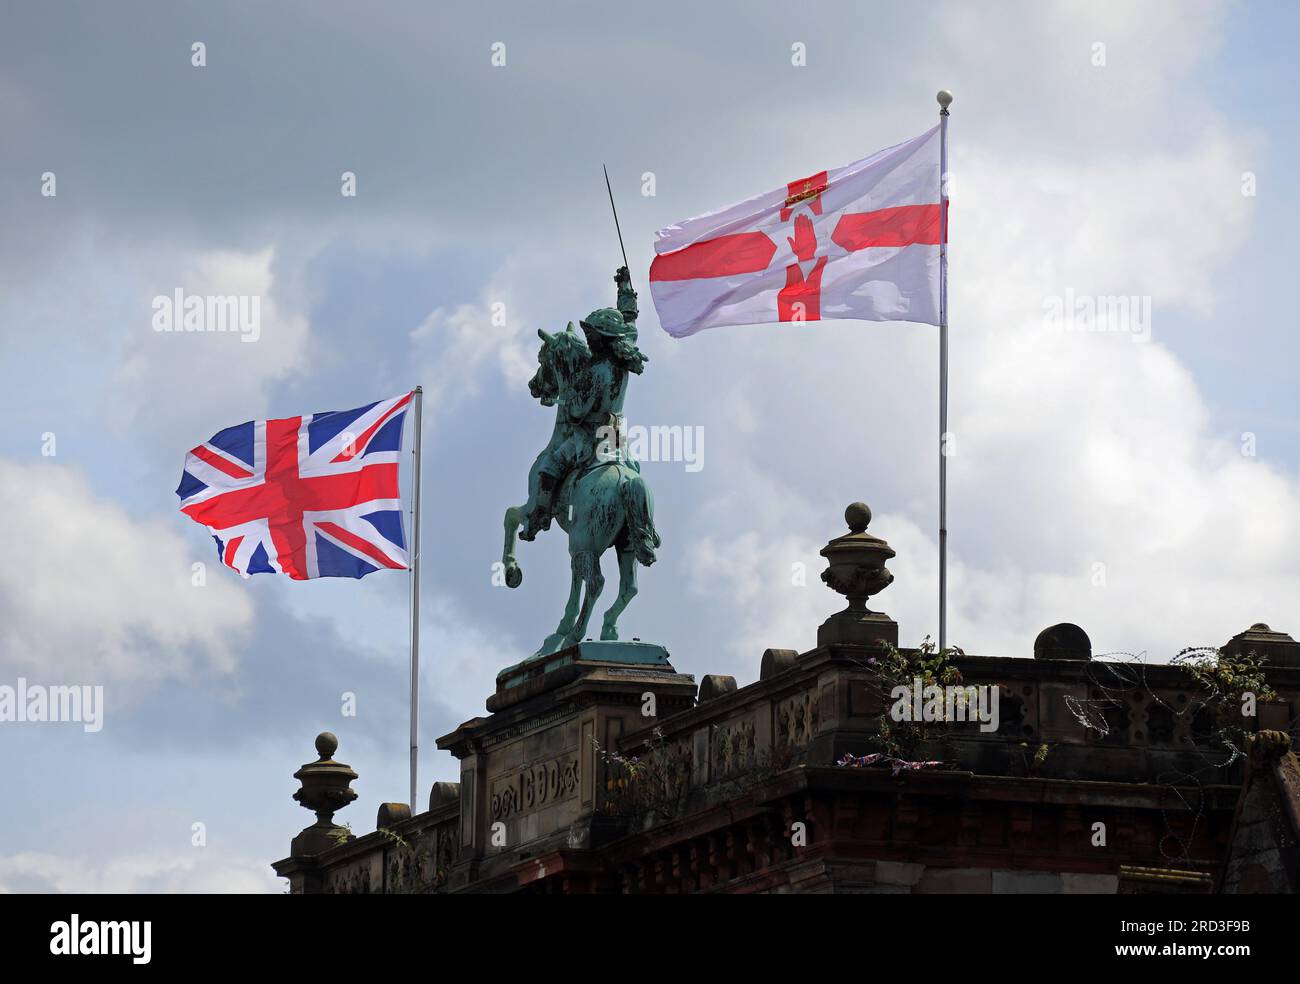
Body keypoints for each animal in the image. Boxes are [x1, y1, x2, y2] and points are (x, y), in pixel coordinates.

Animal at [499, 326, 660, 655]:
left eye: (542, 358)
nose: (533, 386)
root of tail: (626, 481)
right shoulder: (578, 534)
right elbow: (575, 581)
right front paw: (557, 631)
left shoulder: (535, 504)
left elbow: (510, 516)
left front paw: (512, 571)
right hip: (622, 544)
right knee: (628, 586)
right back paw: (607, 628)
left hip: (585, 542)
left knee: (597, 581)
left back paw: (577, 635)